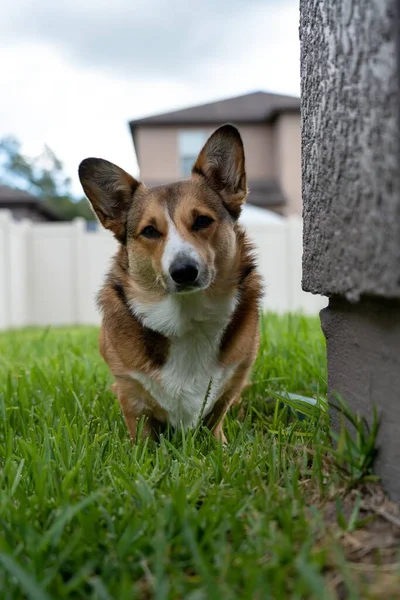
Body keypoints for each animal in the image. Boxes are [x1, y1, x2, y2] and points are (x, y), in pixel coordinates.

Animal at [79, 124, 264, 442]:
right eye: (150, 231)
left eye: (202, 221)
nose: (184, 271)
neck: (187, 315)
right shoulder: (129, 391)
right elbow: (141, 433)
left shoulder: (234, 379)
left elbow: (217, 417)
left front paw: (221, 446)